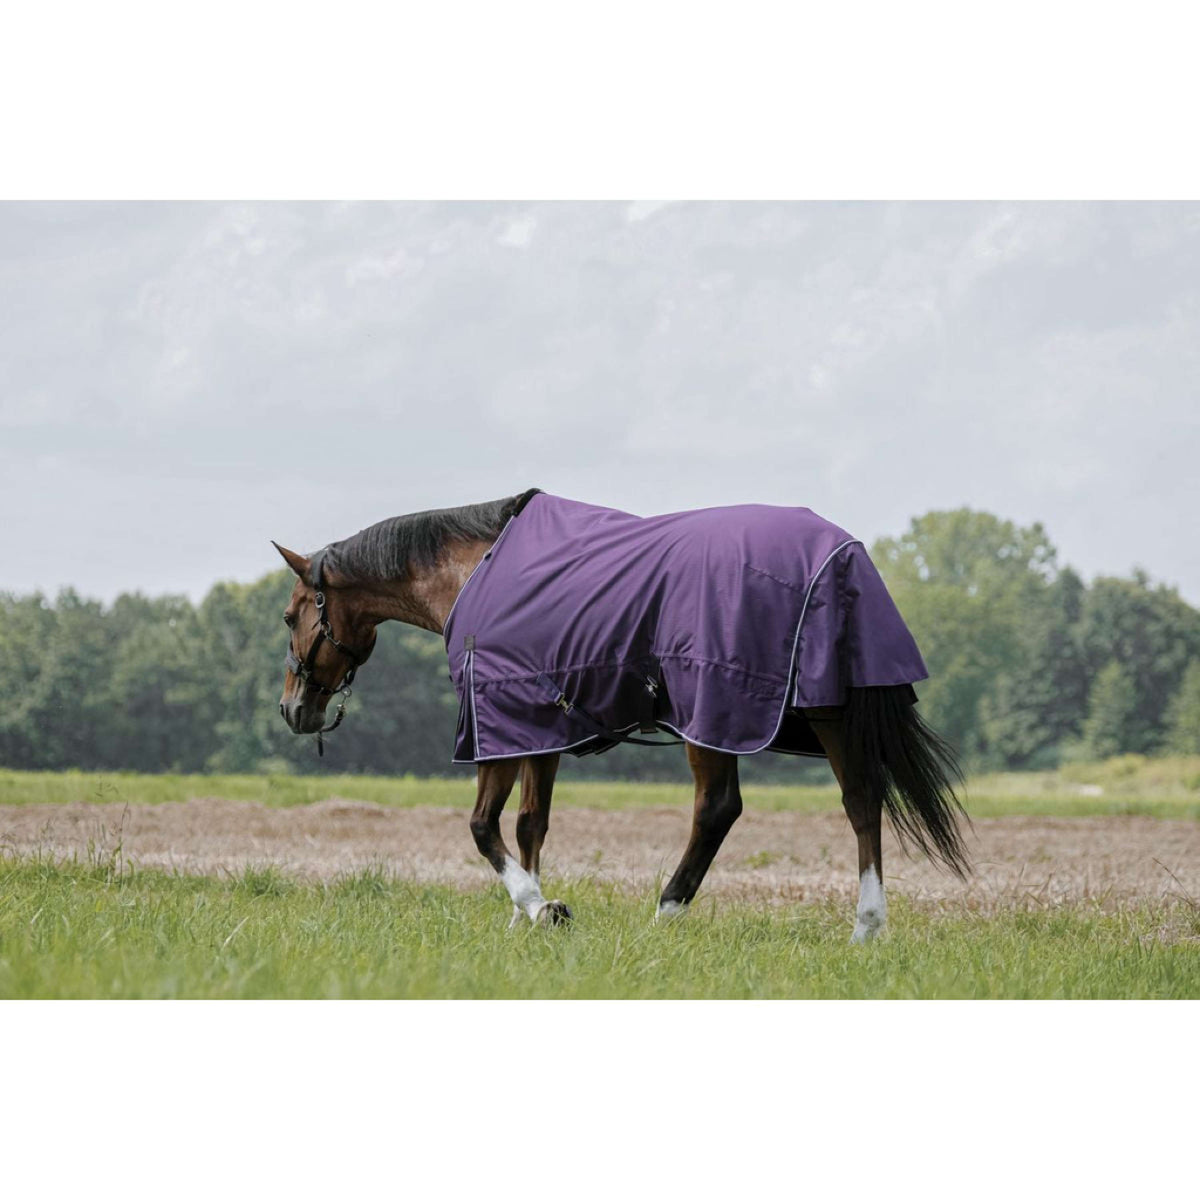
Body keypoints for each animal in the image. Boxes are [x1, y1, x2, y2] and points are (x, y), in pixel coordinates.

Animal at [275, 489, 969, 940]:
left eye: (287, 616)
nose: (292, 708)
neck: (476, 572)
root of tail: (843, 556)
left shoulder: (496, 722)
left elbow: (480, 826)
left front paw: (539, 907)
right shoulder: (539, 728)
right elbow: (530, 825)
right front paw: (524, 915)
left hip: (711, 714)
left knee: (717, 810)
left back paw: (666, 913)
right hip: (828, 712)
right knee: (862, 800)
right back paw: (866, 927)